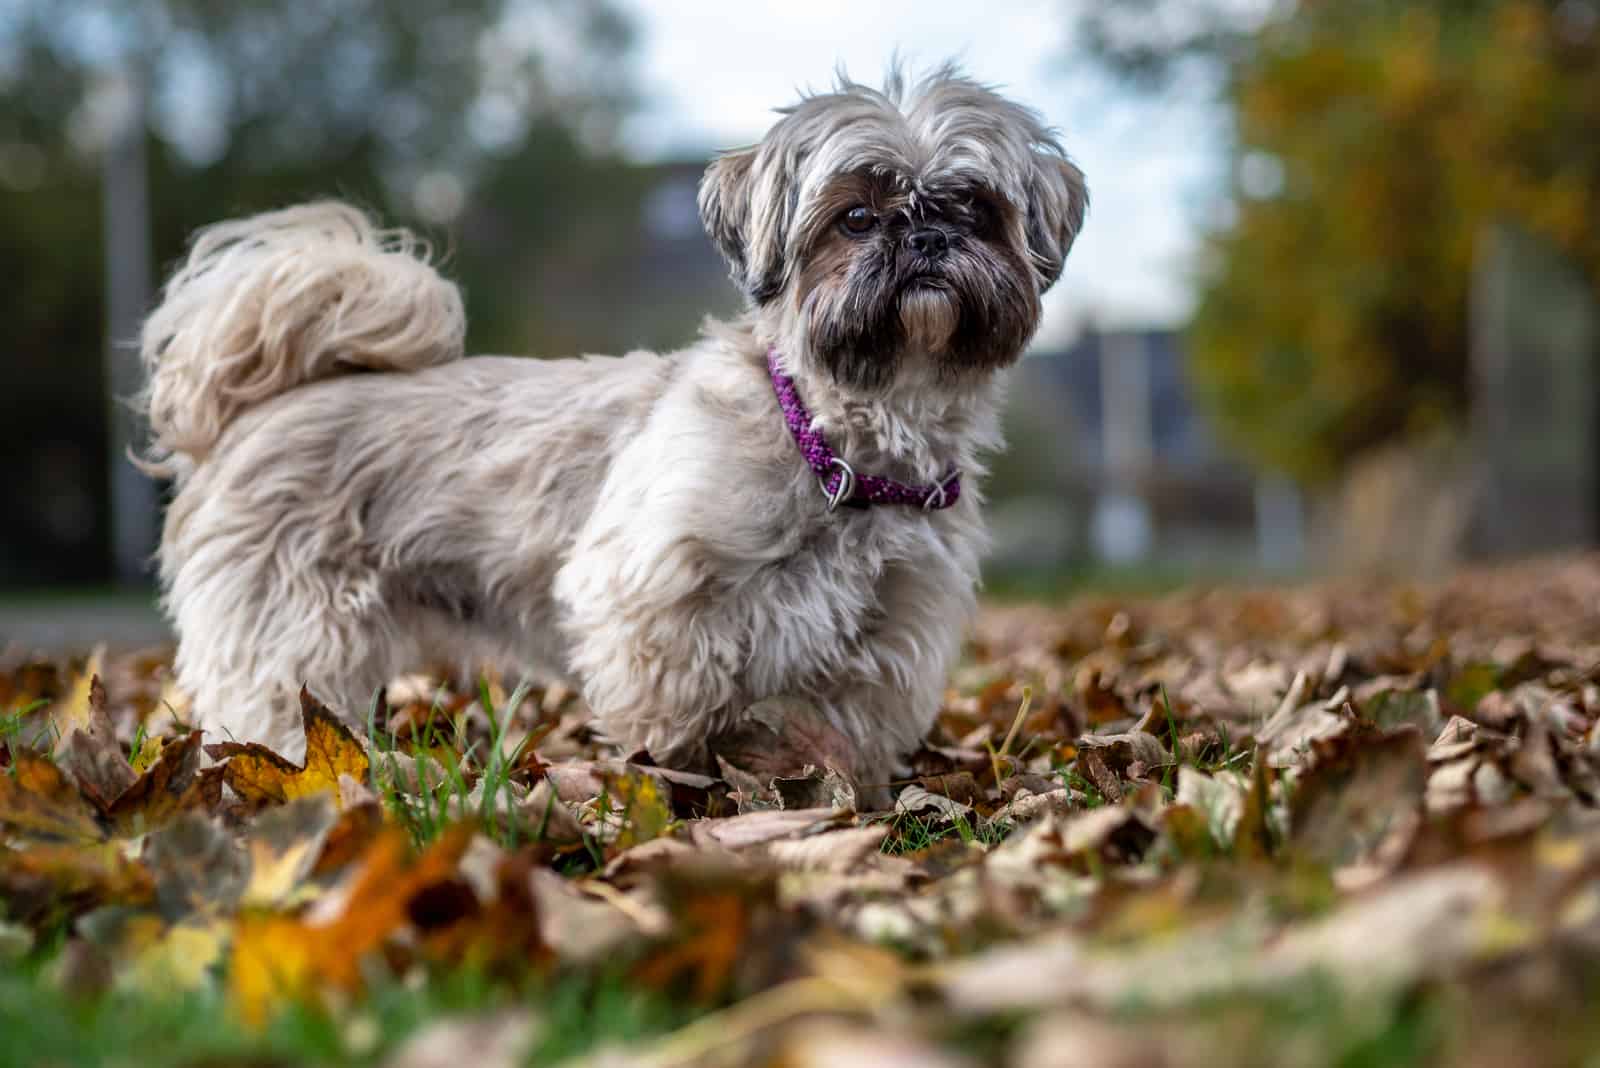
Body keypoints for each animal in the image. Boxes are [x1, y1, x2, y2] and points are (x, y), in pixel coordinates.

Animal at [140, 64, 1088, 783]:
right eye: (855, 217)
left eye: (975, 209)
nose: (925, 236)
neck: (835, 440)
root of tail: (264, 406)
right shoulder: (649, 598)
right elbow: (680, 712)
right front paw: (688, 787)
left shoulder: (884, 642)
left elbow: (833, 735)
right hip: (291, 636)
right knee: (273, 708)